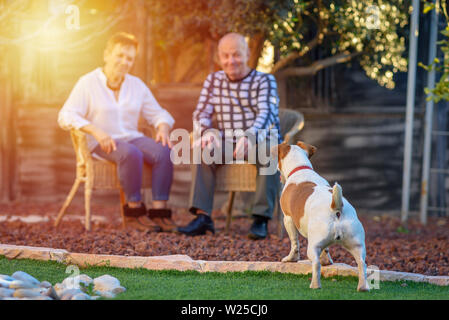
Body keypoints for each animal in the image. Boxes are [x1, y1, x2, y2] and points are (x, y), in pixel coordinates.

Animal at [276, 141, 368, 292]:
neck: (301, 168)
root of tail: (336, 208)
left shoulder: (288, 219)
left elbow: (294, 243)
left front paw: (291, 258)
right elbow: (326, 250)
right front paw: (327, 261)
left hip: (313, 246)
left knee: (316, 264)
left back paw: (315, 285)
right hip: (356, 245)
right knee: (362, 264)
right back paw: (363, 287)